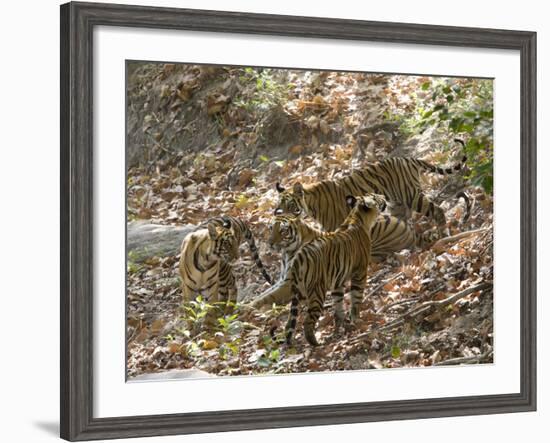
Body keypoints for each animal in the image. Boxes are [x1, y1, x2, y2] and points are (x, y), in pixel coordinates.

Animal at [274, 194, 386, 346]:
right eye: (375, 197)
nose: (384, 196)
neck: (357, 216)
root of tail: (298, 257)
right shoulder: (360, 272)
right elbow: (356, 298)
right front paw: (356, 319)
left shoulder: (338, 281)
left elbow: (338, 304)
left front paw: (341, 324)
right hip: (317, 291)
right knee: (307, 321)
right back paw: (315, 343)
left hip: (299, 292)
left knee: (289, 322)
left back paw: (289, 342)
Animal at [278, 140, 468, 231]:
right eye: (279, 208)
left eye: (291, 206)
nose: (281, 217)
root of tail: (408, 159)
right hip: (397, 204)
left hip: (411, 196)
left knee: (438, 211)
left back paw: (443, 232)